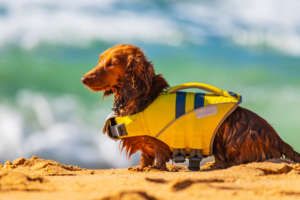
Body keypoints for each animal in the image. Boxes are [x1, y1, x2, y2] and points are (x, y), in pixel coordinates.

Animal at [81, 43, 300, 170]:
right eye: (100, 60)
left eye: (111, 64)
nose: (83, 79)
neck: (143, 98)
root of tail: (278, 139)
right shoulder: (145, 146)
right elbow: (145, 157)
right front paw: (141, 168)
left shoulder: (159, 143)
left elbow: (158, 157)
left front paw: (155, 169)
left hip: (229, 139)